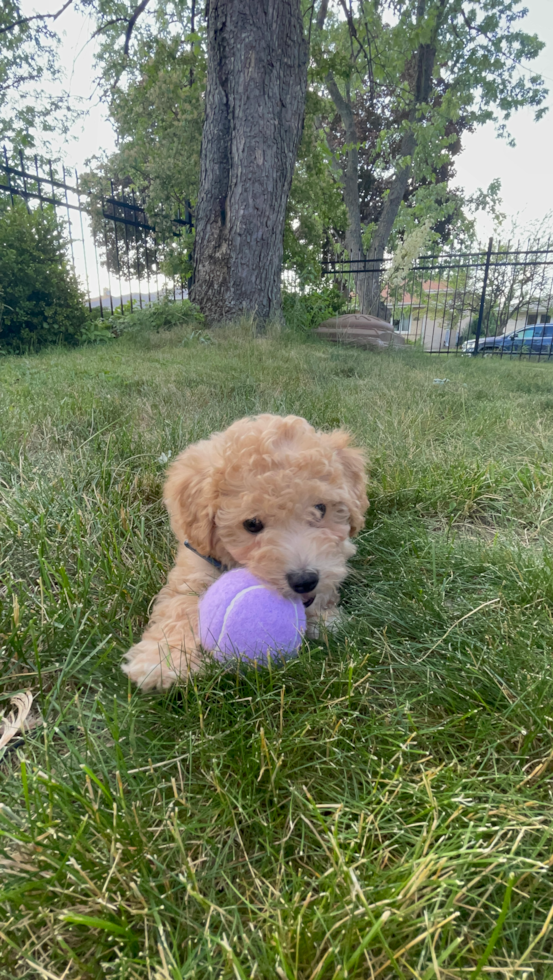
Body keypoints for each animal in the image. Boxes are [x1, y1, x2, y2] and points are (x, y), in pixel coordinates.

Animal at [123, 414, 368, 688]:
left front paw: (326, 620)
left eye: (320, 508)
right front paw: (162, 662)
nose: (304, 580)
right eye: (252, 524)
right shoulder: (195, 564)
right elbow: (179, 607)